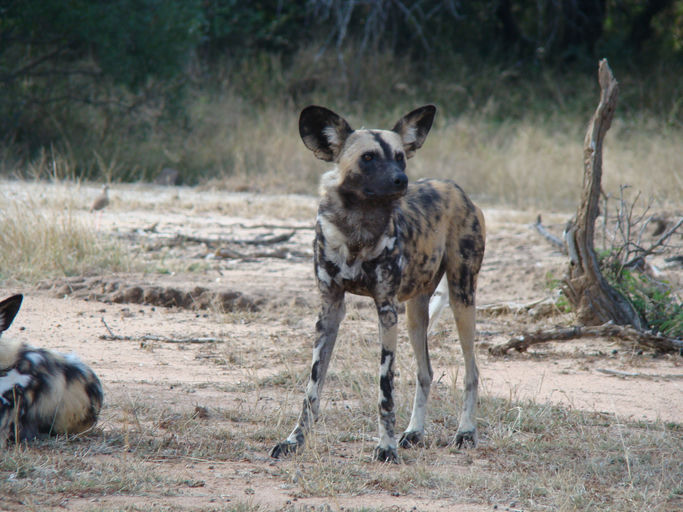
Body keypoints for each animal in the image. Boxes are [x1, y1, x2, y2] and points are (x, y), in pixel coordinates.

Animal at [272, 105, 486, 464]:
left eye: (400, 157)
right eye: (368, 158)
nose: (402, 180)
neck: (357, 227)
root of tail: (459, 191)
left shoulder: (386, 311)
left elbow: (385, 389)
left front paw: (385, 447)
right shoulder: (329, 309)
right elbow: (312, 388)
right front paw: (294, 441)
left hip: (462, 297)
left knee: (472, 371)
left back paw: (465, 432)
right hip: (415, 313)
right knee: (425, 372)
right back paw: (414, 432)